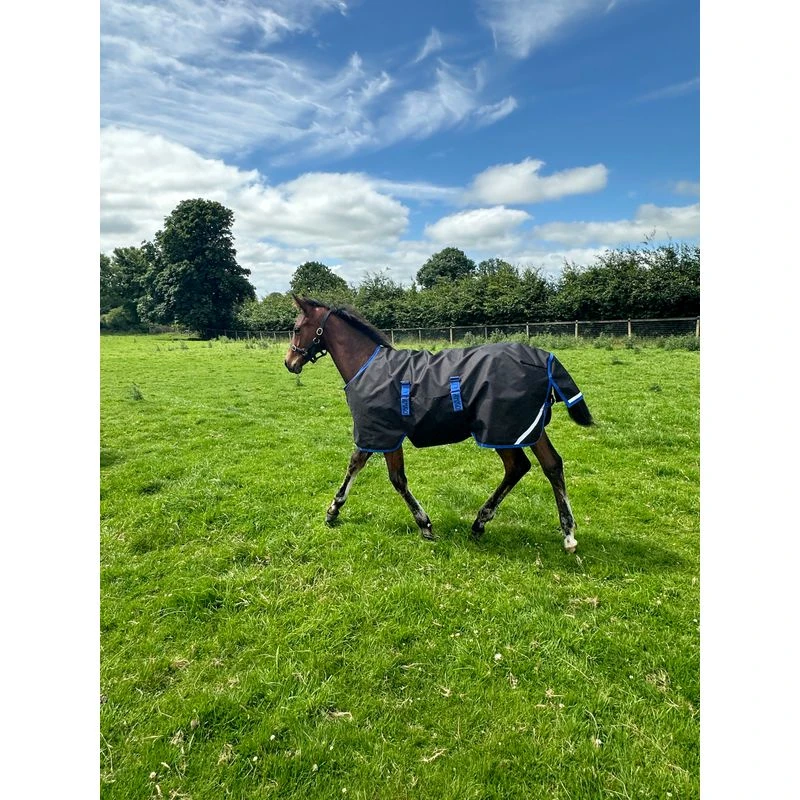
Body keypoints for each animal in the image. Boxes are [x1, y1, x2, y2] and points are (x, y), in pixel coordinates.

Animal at [284, 295, 594, 552]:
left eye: (297, 328)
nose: (289, 362)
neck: (367, 366)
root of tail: (544, 358)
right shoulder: (379, 434)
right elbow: (363, 466)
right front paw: (334, 510)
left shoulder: (383, 433)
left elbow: (390, 477)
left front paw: (424, 525)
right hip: (528, 428)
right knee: (551, 465)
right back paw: (567, 534)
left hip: (500, 430)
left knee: (518, 466)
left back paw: (482, 522)